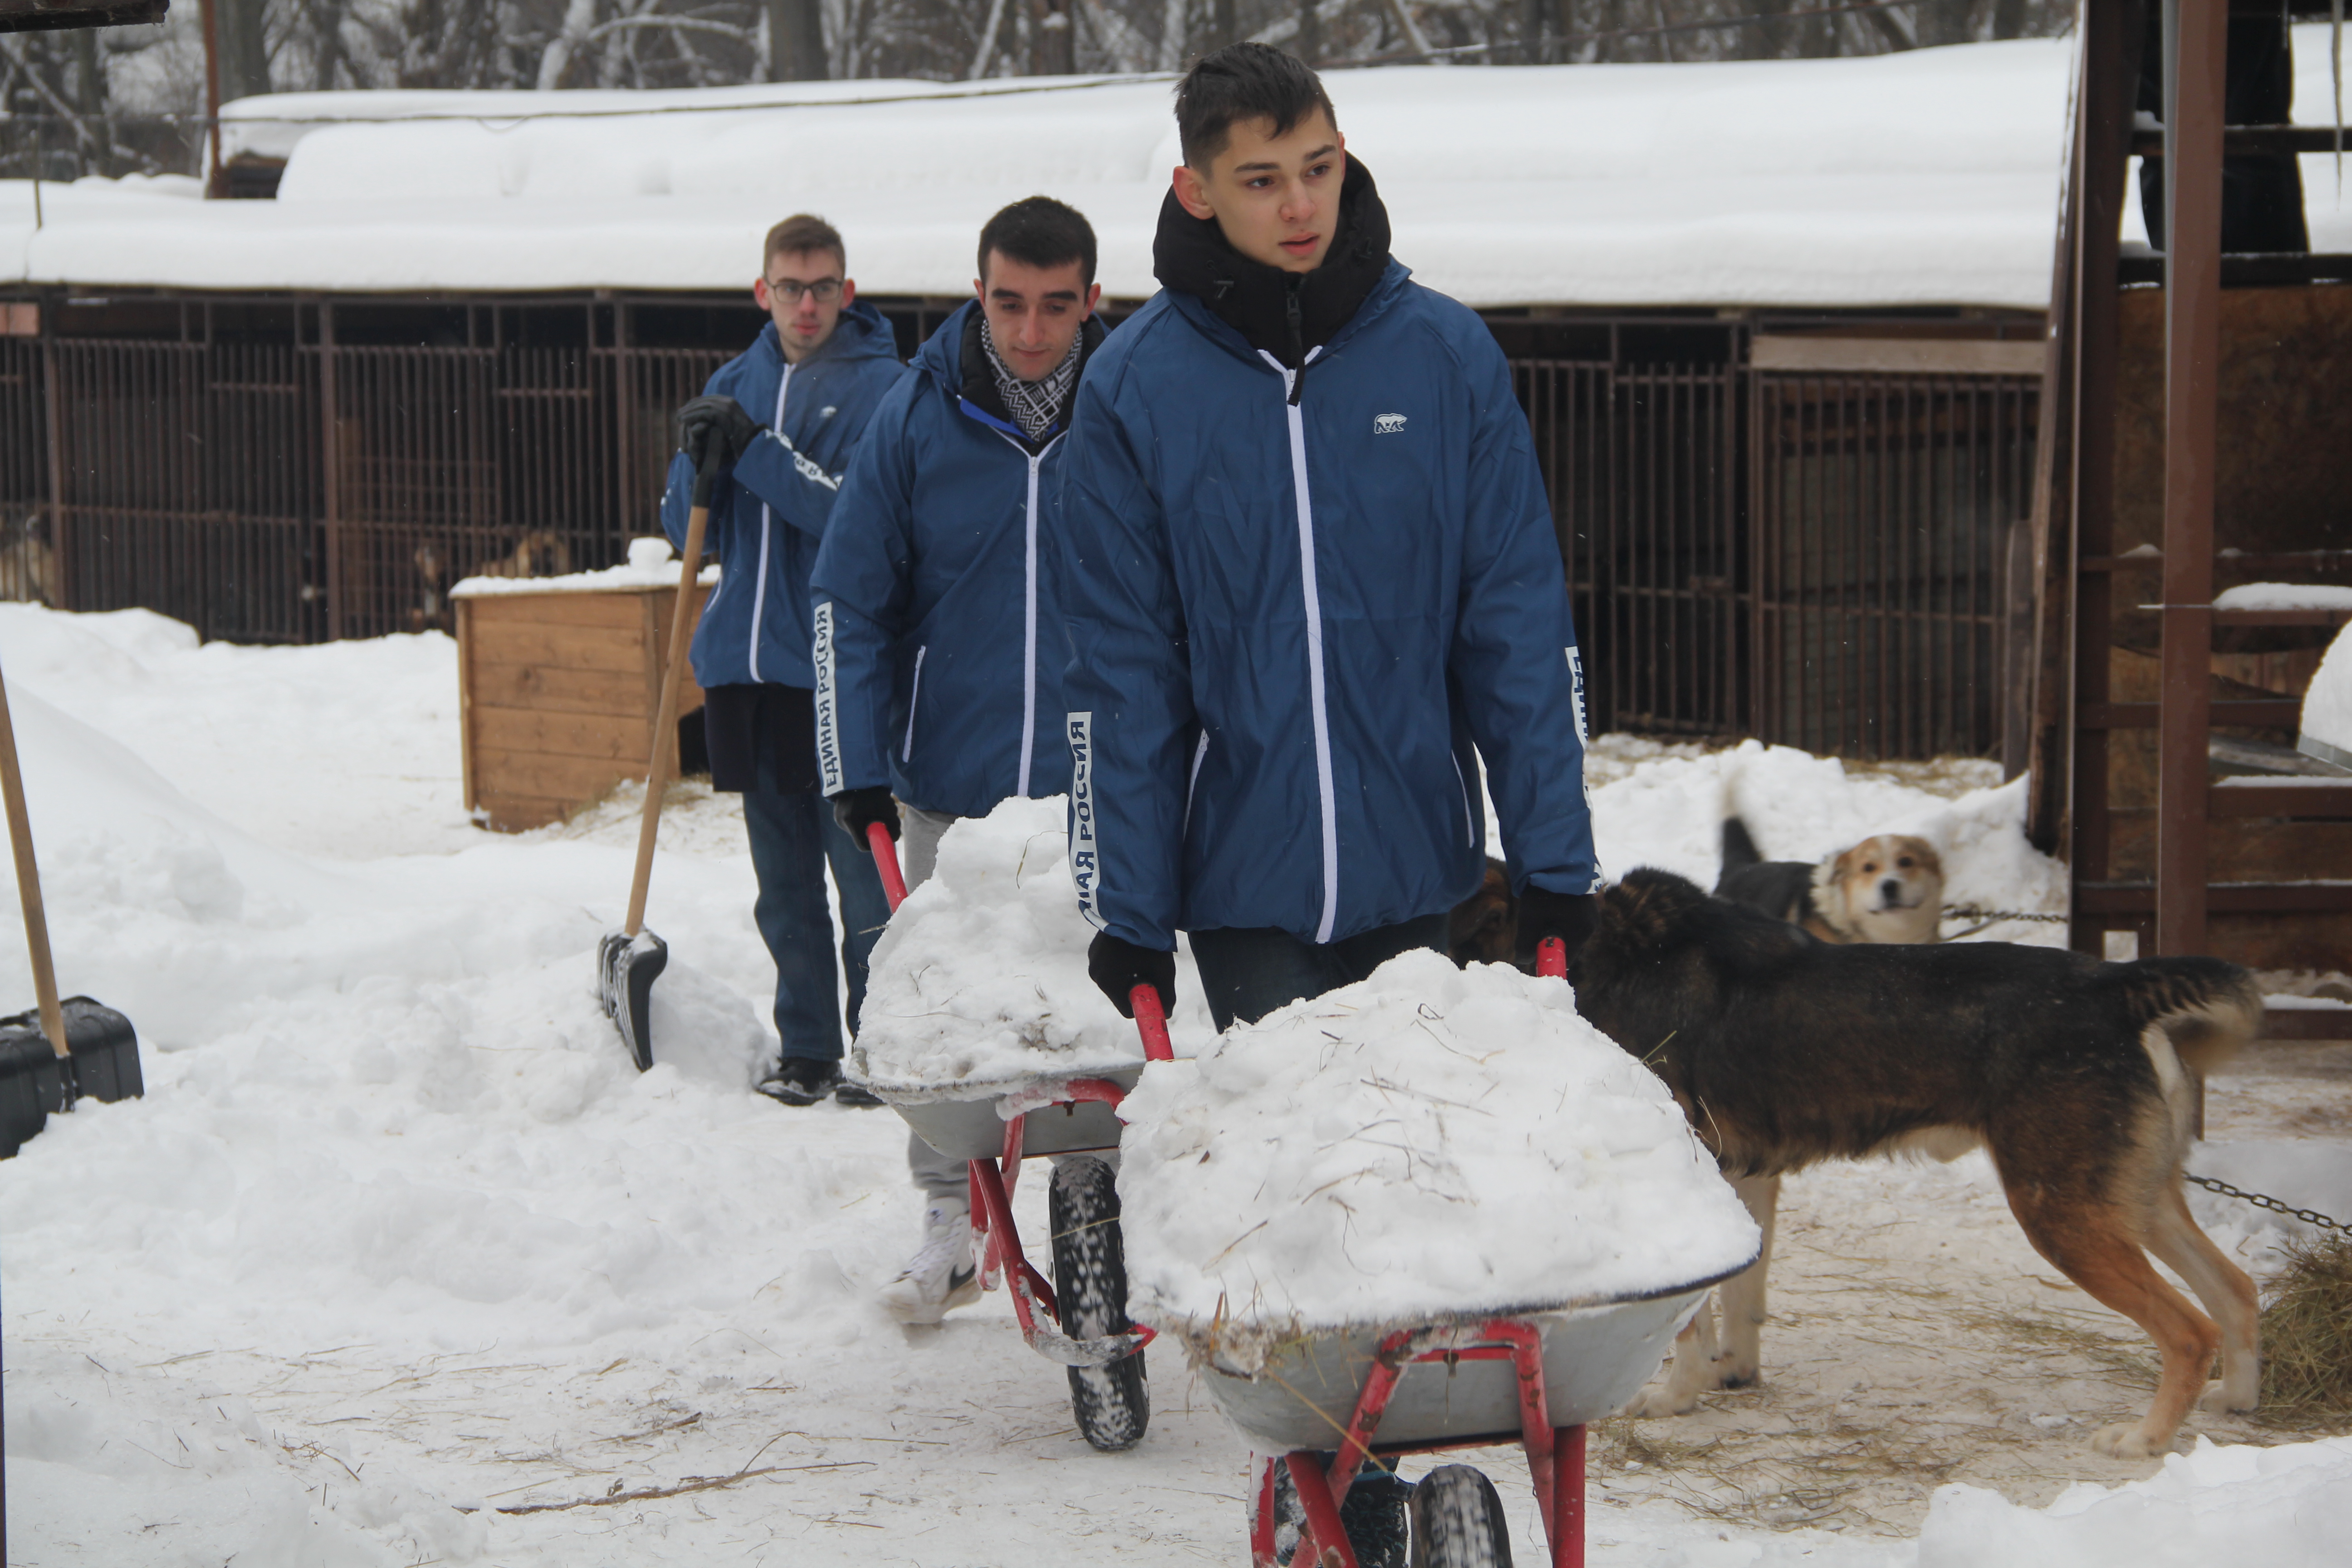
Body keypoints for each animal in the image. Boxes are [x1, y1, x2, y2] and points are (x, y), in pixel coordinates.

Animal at [1571, 870, 2267, 1457]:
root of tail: (2116, 988)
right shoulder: (1740, 1181)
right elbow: (1735, 1299)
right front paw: (1727, 1375)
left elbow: (1691, 1322)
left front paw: (1673, 1397)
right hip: (2132, 1204)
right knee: (2235, 1291)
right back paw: (2235, 1399)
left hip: (2063, 1218)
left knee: (2190, 1331)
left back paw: (2145, 1439)